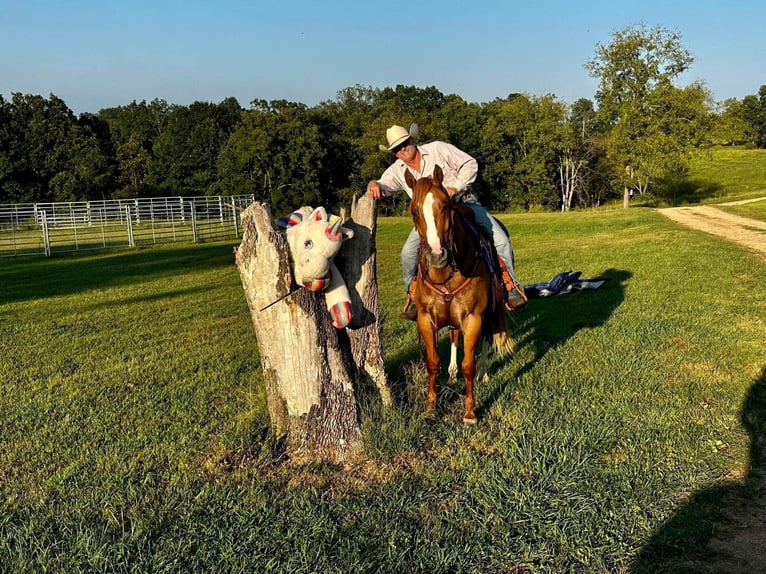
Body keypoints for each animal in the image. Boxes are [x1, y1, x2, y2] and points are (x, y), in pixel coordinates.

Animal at [404, 164, 512, 426]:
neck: (445, 273)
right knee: (453, 336)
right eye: (414, 212)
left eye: (445, 206)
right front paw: (431, 407)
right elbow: (433, 363)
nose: (437, 255)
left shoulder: (473, 318)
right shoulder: (426, 319)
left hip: (491, 311)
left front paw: (470, 413)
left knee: (486, 338)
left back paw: (484, 372)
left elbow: (468, 365)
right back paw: (452, 373)